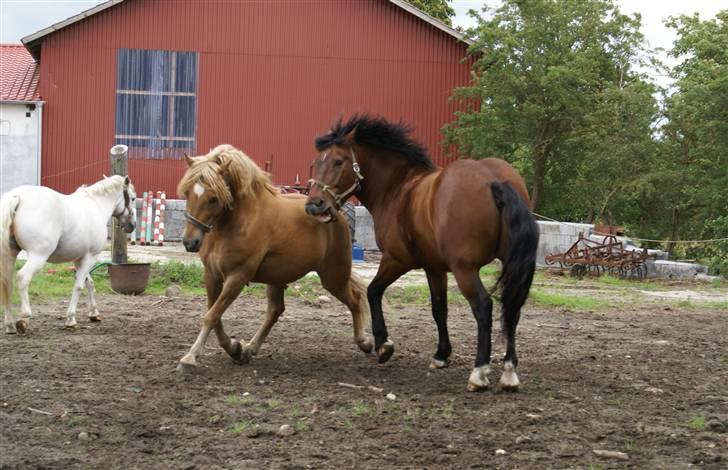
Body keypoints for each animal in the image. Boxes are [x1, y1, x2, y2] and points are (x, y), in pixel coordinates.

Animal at [0, 175, 136, 334]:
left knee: (7, 283)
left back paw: (9, 324)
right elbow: (79, 286)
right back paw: (24, 318)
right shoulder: (90, 257)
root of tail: (17, 196)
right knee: (23, 277)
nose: (132, 226)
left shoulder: (79, 259)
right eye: (133, 198)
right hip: (38, 256)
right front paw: (70, 319)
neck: (95, 206)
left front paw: (94, 313)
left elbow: (89, 283)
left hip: (10, 255)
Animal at [175, 143, 370, 370]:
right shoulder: (212, 275)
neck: (236, 222)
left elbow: (212, 315)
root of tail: (334, 211)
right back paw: (250, 348)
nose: (190, 242)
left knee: (355, 299)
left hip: (333, 276)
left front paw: (190, 357)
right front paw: (234, 348)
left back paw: (368, 343)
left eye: (213, 198)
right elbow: (215, 316)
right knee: (275, 310)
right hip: (278, 276)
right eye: (187, 193)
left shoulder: (237, 277)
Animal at [304, 115, 536, 392]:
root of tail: (495, 180)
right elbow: (439, 308)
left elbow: (373, 291)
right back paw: (509, 372)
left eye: (338, 161)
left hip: (465, 269)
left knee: (483, 306)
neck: (398, 188)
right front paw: (441, 355)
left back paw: (479, 372)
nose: (313, 205)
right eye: (317, 162)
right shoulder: (434, 267)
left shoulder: (397, 260)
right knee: (512, 309)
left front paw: (384, 345)